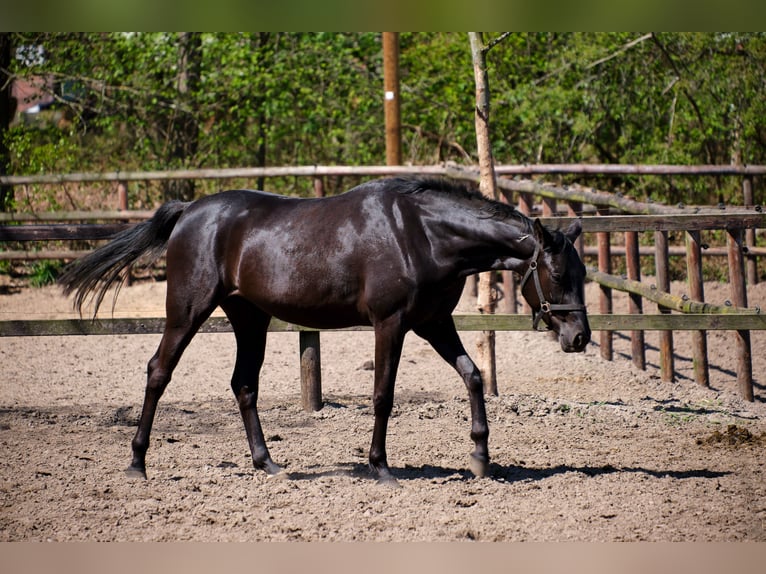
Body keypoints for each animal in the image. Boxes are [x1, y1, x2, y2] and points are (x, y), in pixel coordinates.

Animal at [60, 178, 592, 484]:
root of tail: (190, 211)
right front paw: (380, 467)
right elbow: (382, 395)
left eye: (584, 272)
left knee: (243, 384)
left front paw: (481, 455)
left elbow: (474, 375)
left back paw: (267, 463)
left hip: (249, 319)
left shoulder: (433, 323)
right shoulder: (391, 323)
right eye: (557, 273)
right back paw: (137, 463)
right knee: (158, 372)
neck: (421, 234)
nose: (580, 338)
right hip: (187, 311)